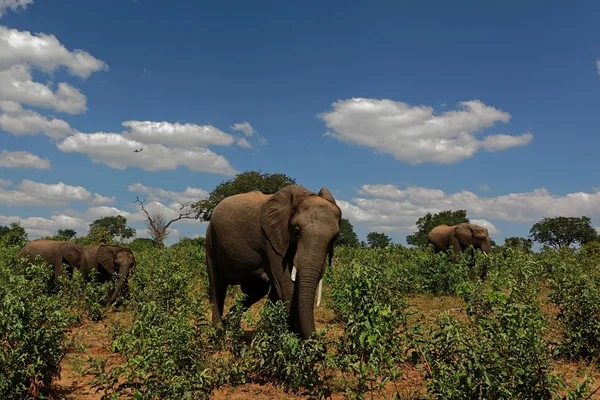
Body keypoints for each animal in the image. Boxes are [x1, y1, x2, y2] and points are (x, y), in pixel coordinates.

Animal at [205, 184, 342, 338]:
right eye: (296, 231)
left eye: (335, 237)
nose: (317, 337)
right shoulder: (270, 239)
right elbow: (285, 284)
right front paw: (295, 340)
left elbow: (278, 289)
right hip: (211, 240)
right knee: (217, 286)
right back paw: (218, 332)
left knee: (256, 290)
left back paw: (231, 327)